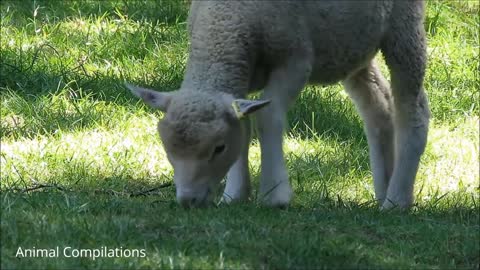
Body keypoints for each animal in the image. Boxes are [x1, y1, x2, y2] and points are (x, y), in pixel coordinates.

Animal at [125, 0, 430, 209]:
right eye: (167, 148)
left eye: (218, 148)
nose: (188, 200)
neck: (225, 23)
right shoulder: (242, 72)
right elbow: (243, 125)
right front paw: (235, 194)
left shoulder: (295, 60)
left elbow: (268, 116)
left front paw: (275, 194)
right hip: (352, 47)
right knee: (379, 105)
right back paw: (383, 187)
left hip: (404, 26)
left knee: (414, 109)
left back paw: (397, 200)